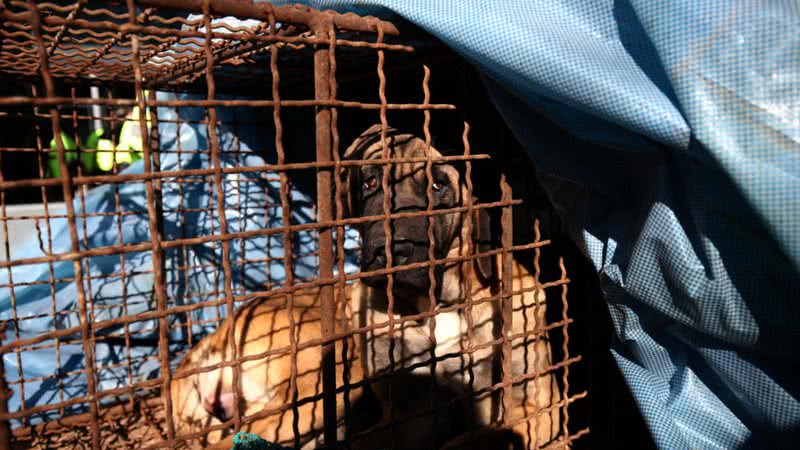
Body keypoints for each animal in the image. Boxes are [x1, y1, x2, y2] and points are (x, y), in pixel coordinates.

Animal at [344, 124, 564, 450]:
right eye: (370, 182)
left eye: (439, 185)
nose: (389, 251)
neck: (437, 305)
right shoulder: (409, 414)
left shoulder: (534, 405)